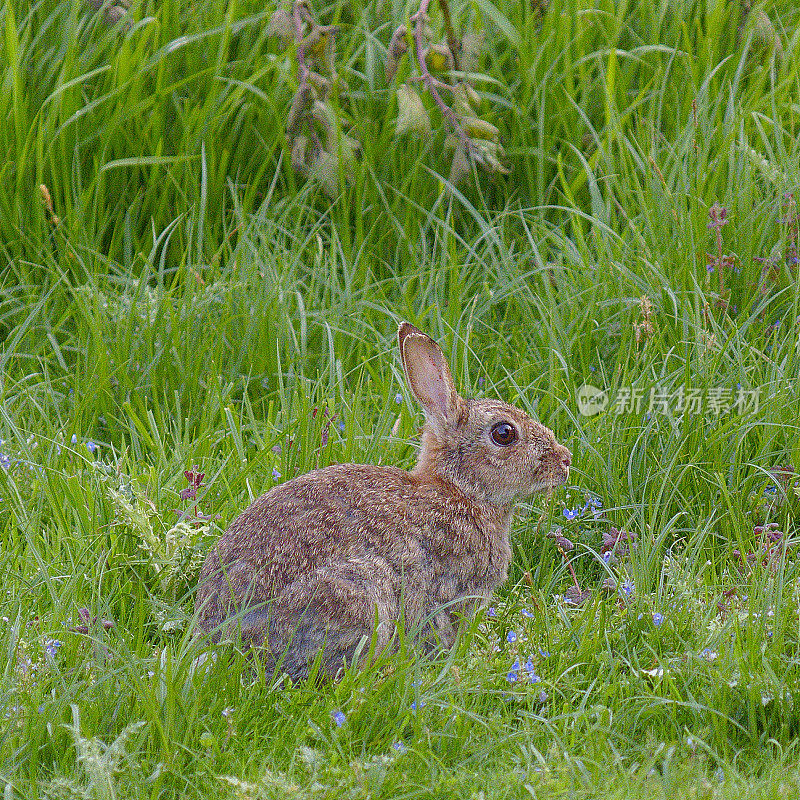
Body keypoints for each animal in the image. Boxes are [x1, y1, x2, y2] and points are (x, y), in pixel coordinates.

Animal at [193, 322, 568, 680]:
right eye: (504, 434)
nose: (564, 460)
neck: (461, 490)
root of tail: (224, 642)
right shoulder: (448, 591)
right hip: (359, 596)